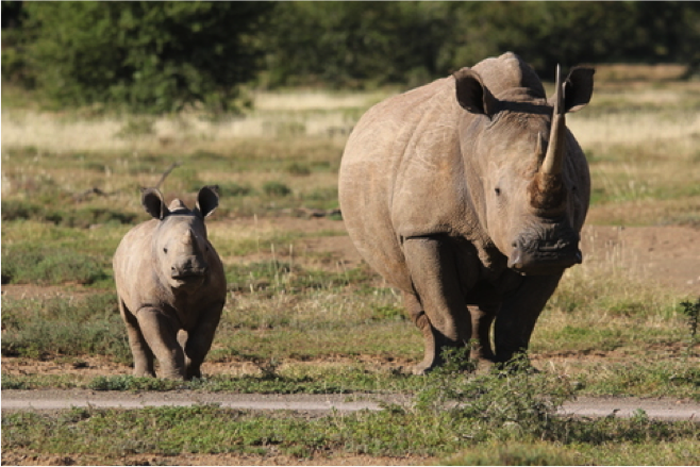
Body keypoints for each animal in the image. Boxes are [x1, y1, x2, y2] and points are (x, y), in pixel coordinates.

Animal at [113, 186, 226, 380]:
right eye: (165, 250)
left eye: (206, 248)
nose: (188, 268)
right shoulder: (149, 305)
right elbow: (166, 346)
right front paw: (174, 380)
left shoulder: (213, 303)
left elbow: (199, 344)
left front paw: (193, 377)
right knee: (131, 321)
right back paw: (143, 377)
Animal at [340, 52, 596, 372]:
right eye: (497, 191)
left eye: (573, 189)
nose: (548, 250)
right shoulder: (425, 229)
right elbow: (444, 306)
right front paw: (442, 371)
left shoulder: (565, 242)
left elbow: (521, 315)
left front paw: (521, 370)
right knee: (412, 290)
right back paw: (425, 367)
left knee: (486, 302)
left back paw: (485, 366)